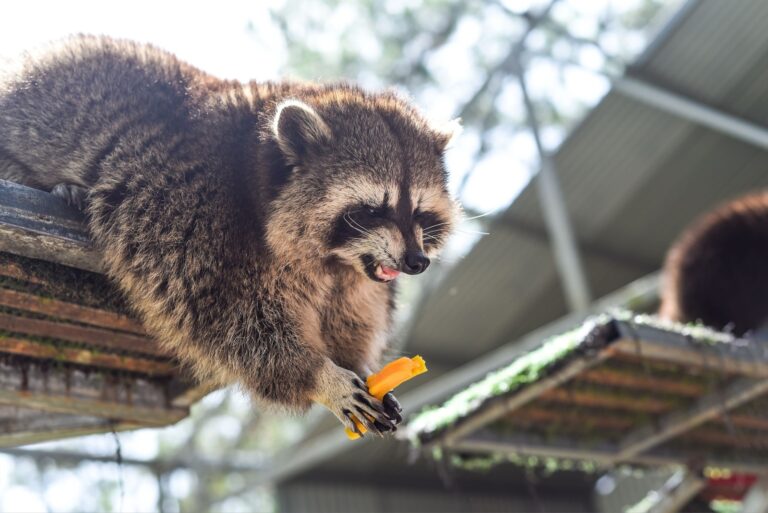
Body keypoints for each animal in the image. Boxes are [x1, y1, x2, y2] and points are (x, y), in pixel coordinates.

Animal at [0, 36, 458, 436]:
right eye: (371, 210)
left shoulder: (357, 278)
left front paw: (358, 363)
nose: (417, 262)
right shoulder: (196, 219)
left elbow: (351, 315)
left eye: (420, 212)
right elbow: (230, 321)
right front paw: (319, 375)